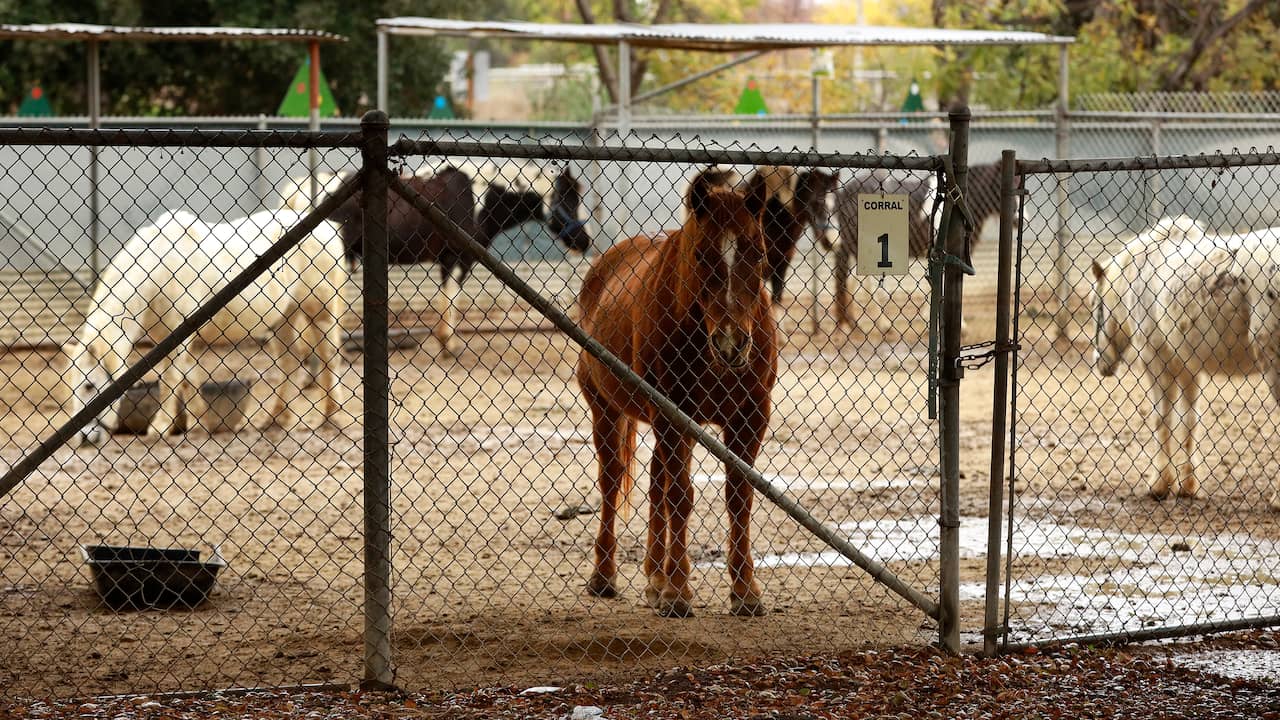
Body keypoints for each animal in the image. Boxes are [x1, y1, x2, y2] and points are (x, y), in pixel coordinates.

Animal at [66, 206, 348, 443]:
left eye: (89, 385)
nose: (85, 437)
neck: (158, 270)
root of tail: (327, 227)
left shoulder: (177, 336)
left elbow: (170, 379)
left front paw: (160, 427)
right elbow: (188, 377)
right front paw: (202, 423)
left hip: (320, 311)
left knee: (329, 358)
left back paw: (332, 417)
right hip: (282, 318)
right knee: (290, 362)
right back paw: (275, 420)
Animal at [576, 166, 773, 617]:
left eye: (757, 253)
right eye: (700, 255)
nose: (732, 344)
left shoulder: (750, 417)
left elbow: (739, 497)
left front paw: (745, 591)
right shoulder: (672, 414)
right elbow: (680, 495)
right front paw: (678, 592)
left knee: (654, 484)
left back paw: (654, 576)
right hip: (607, 408)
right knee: (612, 482)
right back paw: (606, 576)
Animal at [1090, 212, 1280, 504]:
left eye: (1095, 305)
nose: (1100, 362)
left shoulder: (1156, 361)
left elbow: (1162, 419)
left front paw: (1159, 485)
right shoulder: (1189, 368)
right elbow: (1190, 422)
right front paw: (1188, 485)